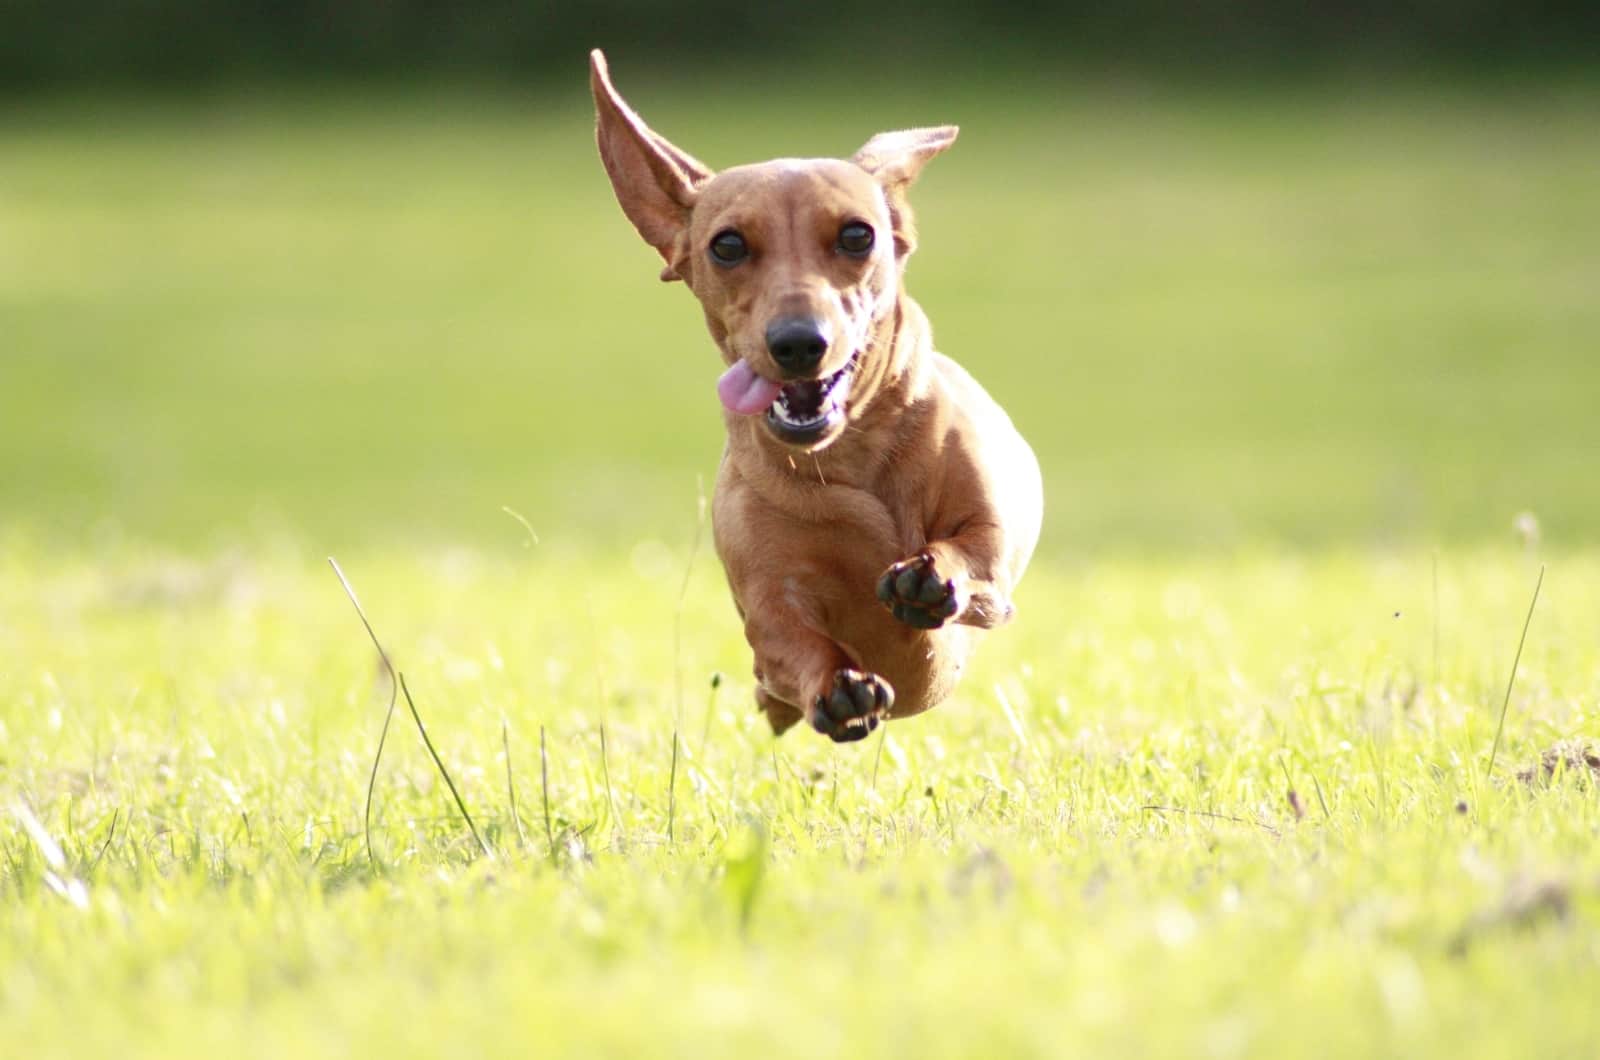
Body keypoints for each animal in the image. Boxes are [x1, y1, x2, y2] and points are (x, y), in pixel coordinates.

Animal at [595, 52, 1043, 746]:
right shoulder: (769, 605)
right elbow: (790, 641)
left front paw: (928, 574)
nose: (799, 343)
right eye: (727, 245)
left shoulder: (991, 554)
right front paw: (838, 687)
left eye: (858, 235)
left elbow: (972, 553)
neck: (852, 459)